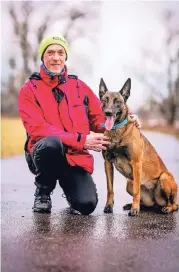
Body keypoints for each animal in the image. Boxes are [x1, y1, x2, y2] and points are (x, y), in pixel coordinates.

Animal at [98, 77, 178, 216]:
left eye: (117, 101)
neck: (117, 131)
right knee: (148, 204)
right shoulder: (107, 162)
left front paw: (135, 210)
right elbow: (110, 189)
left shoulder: (136, 163)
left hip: (164, 177)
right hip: (129, 182)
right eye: (104, 100)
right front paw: (109, 206)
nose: (108, 113)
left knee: (174, 204)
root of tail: (156, 202)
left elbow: (136, 191)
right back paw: (133, 205)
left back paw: (166, 208)